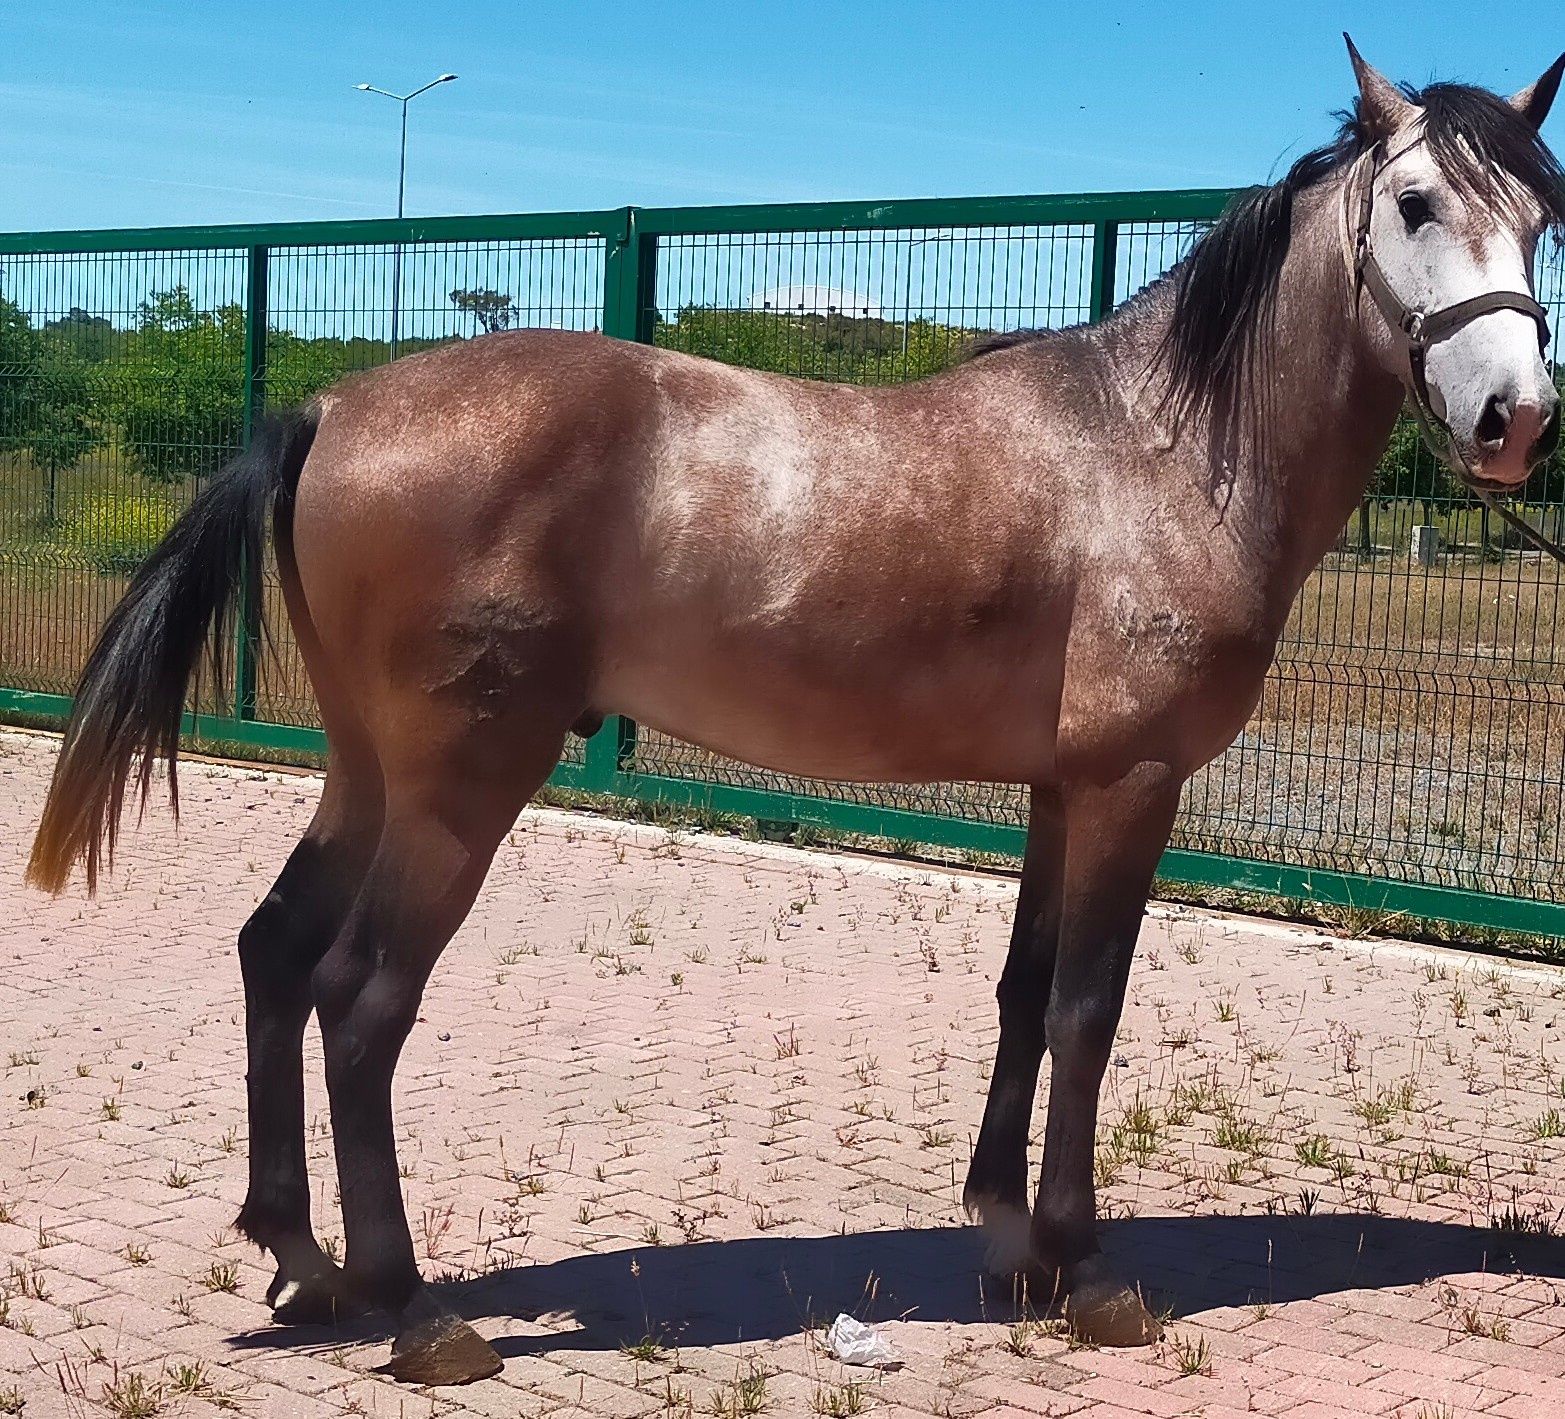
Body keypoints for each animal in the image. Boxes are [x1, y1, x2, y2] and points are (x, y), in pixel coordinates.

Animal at [24, 44, 1565, 1389]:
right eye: (1415, 205)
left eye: (1541, 220)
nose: (1515, 420)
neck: (1159, 448)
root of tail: (332, 407)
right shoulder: (1131, 783)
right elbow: (1087, 1006)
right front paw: (1084, 1267)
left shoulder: (1056, 789)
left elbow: (1022, 995)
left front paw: (1008, 1240)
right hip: (459, 787)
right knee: (359, 1001)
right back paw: (414, 1309)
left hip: (366, 773)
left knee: (275, 954)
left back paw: (303, 1256)